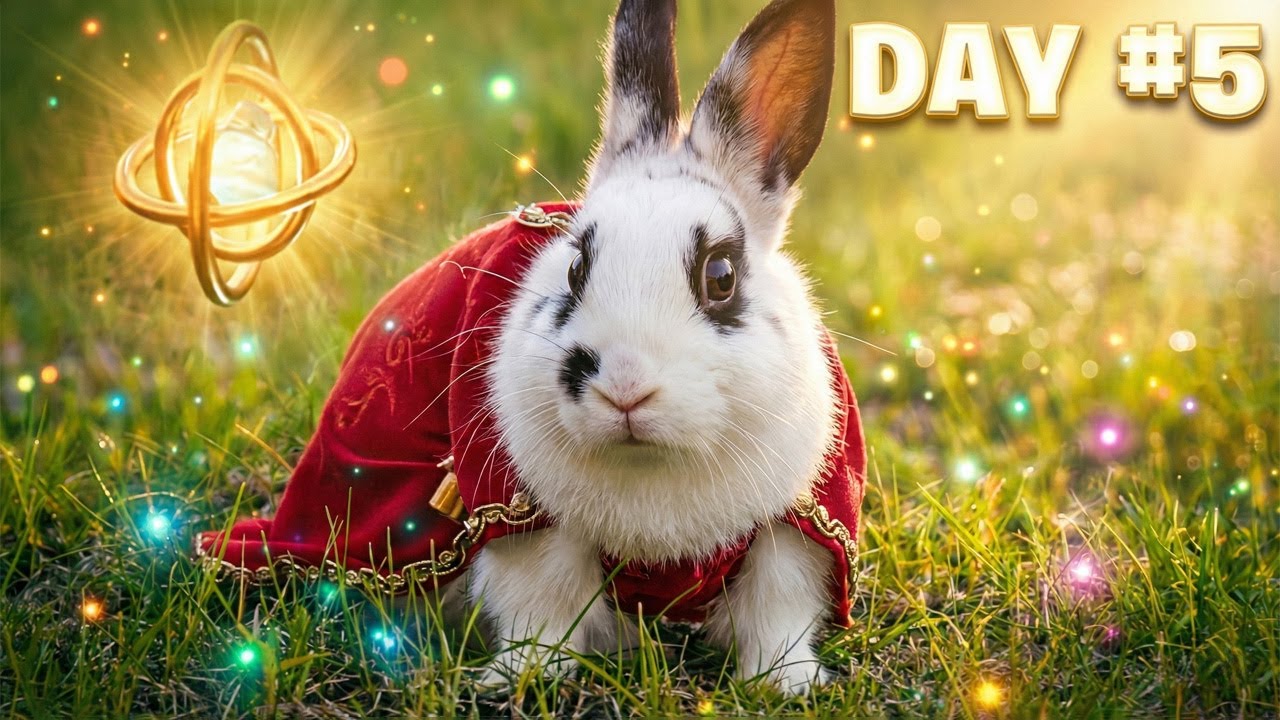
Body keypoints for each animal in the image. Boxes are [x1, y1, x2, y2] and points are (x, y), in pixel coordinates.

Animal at [470, 0, 858, 694]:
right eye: (575, 269)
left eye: (721, 276)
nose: (624, 386)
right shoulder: (529, 534)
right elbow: (539, 611)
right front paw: (525, 678)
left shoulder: (793, 541)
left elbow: (777, 615)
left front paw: (785, 684)